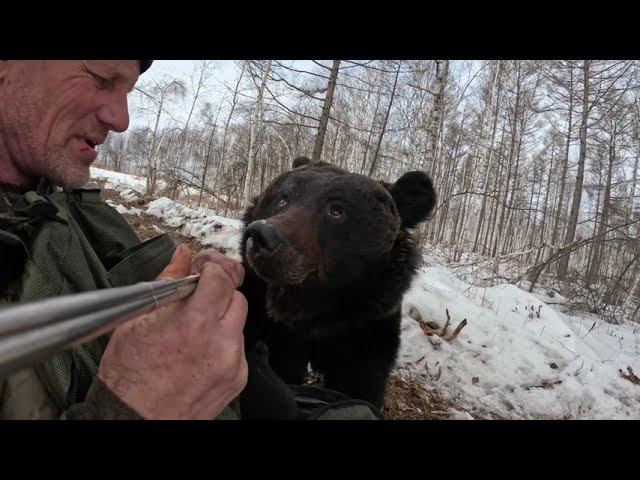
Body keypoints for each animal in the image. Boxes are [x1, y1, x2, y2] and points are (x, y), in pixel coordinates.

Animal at [237, 156, 436, 415]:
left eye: (337, 210)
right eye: (283, 197)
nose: (263, 236)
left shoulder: (365, 328)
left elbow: (359, 385)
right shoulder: (267, 320)